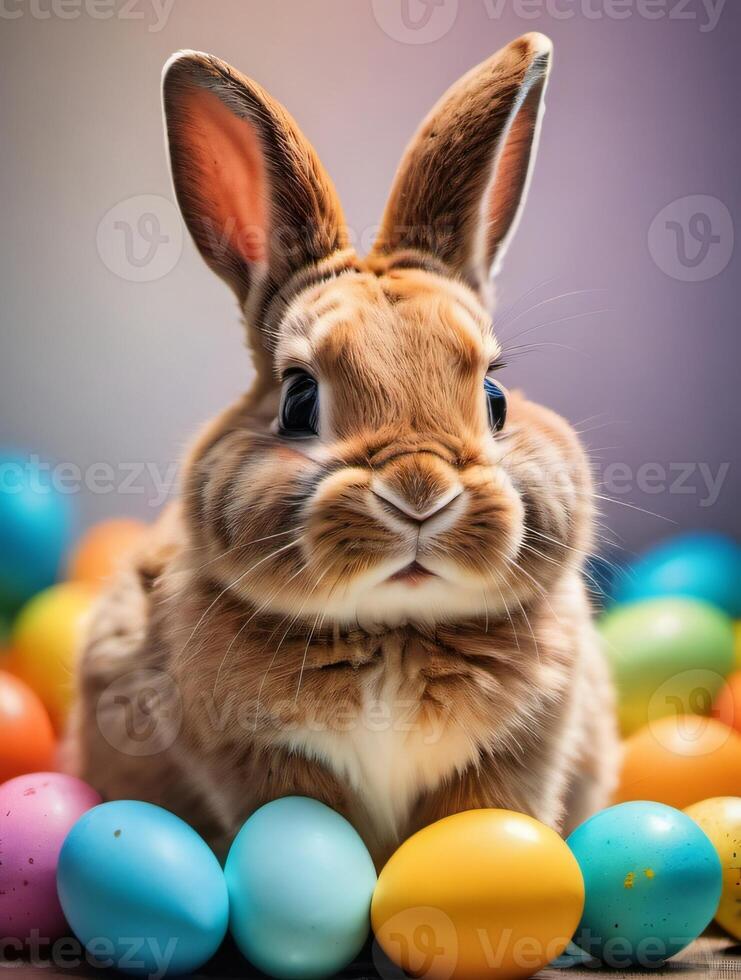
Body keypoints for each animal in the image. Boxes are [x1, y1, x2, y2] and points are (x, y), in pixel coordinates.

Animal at [69, 30, 616, 864]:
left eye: (494, 399)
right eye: (298, 400)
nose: (420, 494)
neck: (394, 632)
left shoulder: (516, 758)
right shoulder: (255, 761)